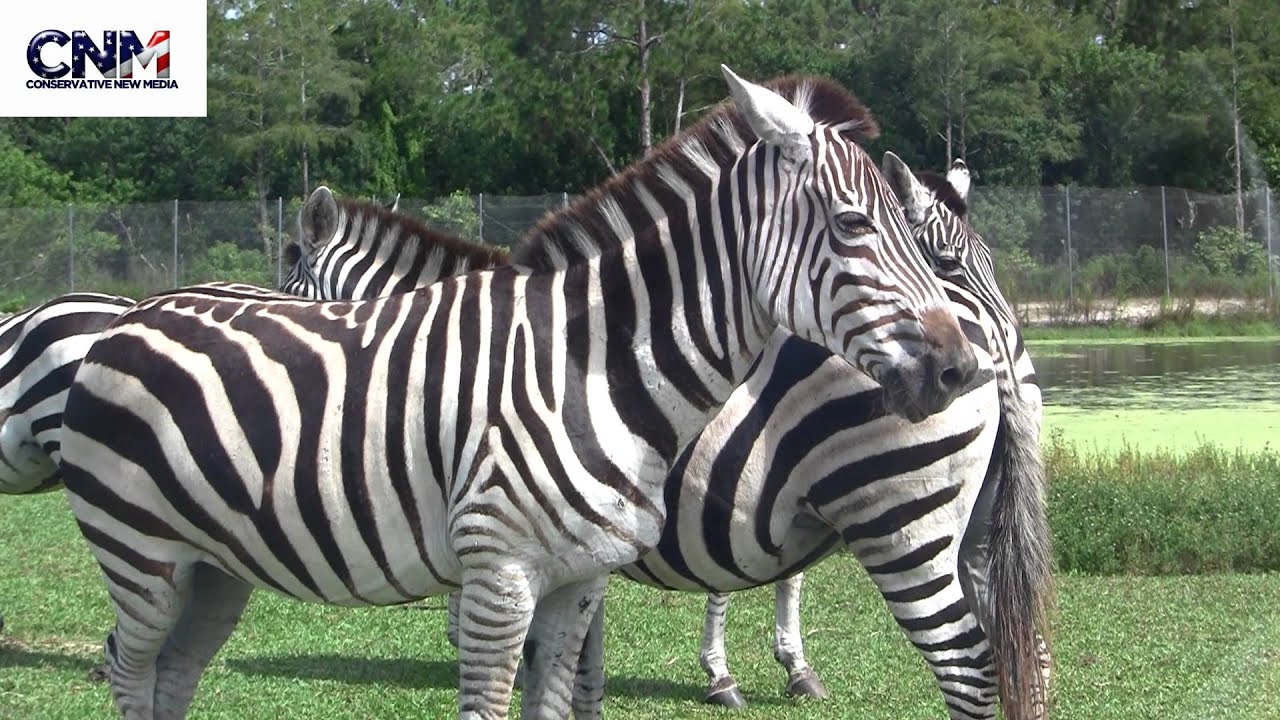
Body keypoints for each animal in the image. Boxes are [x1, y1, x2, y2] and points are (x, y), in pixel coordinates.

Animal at [57, 66, 977, 720]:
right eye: (855, 225)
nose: (955, 369)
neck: (591, 367)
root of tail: (138, 312)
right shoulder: (500, 574)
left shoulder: (578, 579)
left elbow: (560, 698)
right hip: (143, 552)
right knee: (131, 669)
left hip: (210, 566)